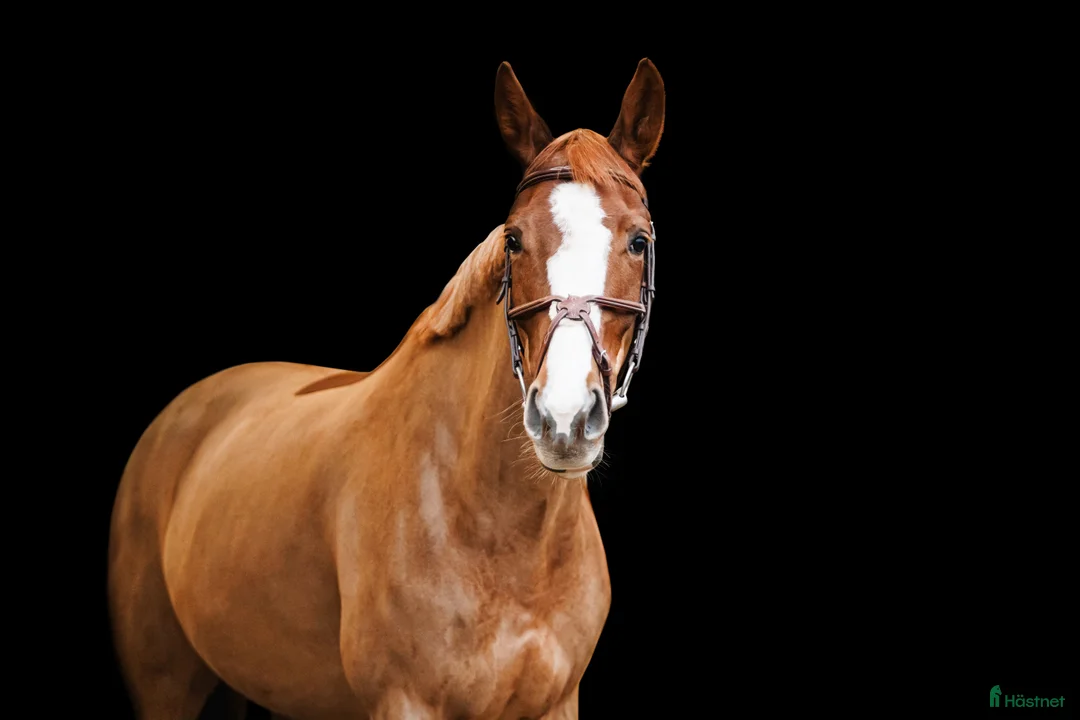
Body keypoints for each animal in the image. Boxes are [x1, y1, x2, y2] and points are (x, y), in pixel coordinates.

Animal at [108, 57, 665, 719]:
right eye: (513, 239)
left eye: (638, 241)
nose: (564, 418)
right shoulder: (405, 701)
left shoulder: (556, 703)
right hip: (165, 687)